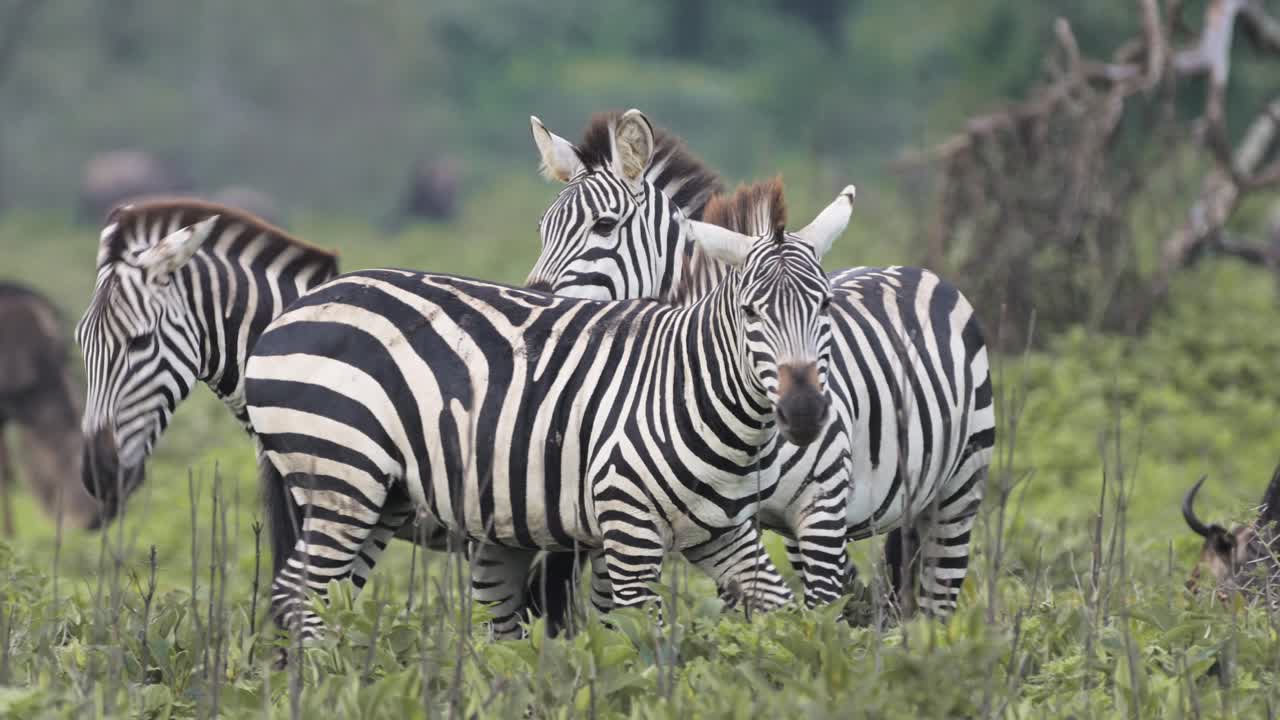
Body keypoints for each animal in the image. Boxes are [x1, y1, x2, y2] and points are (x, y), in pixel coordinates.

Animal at [243, 178, 854, 640]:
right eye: (751, 312)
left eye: (825, 305)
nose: (804, 411)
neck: (690, 388)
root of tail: (295, 309)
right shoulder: (628, 532)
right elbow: (640, 643)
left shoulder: (720, 532)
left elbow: (782, 617)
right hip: (342, 475)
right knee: (299, 593)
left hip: (382, 494)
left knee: (324, 594)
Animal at [528, 109, 995, 619]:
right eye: (543, 228)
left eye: (605, 225)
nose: (534, 301)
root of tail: (908, 269)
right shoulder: (724, 518)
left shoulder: (816, 507)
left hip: (957, 491)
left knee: (934, 602)